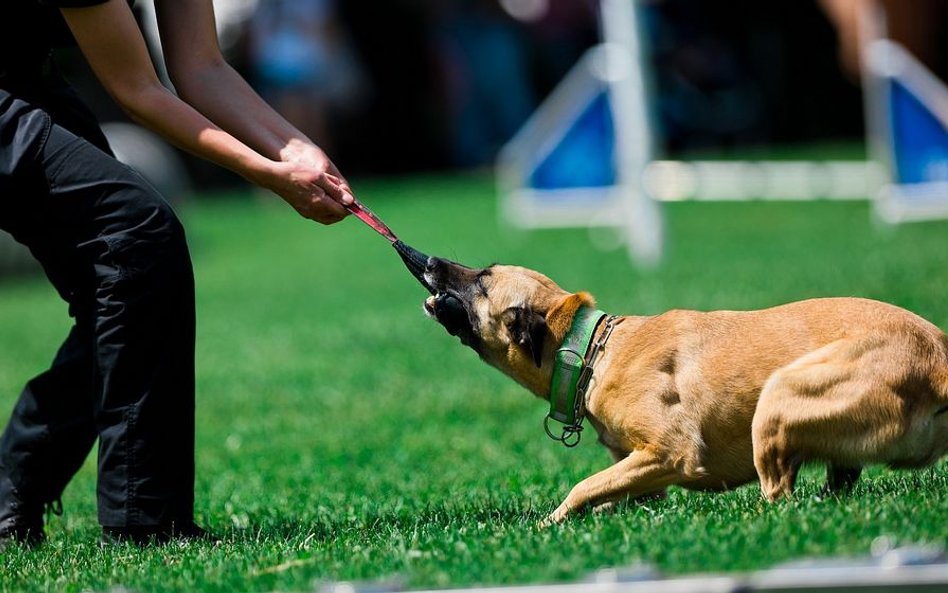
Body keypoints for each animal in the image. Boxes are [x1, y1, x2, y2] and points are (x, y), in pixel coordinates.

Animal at [422, 256, 948, 524]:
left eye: (482, 279)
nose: (428, 261)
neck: (593, 350)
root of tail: (938, 360)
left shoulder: (672, 453)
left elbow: (581, 487)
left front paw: (550, 524)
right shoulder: (640, 467)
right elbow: (609, 490)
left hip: (777, 399)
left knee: (780, 497)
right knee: (833, 483)